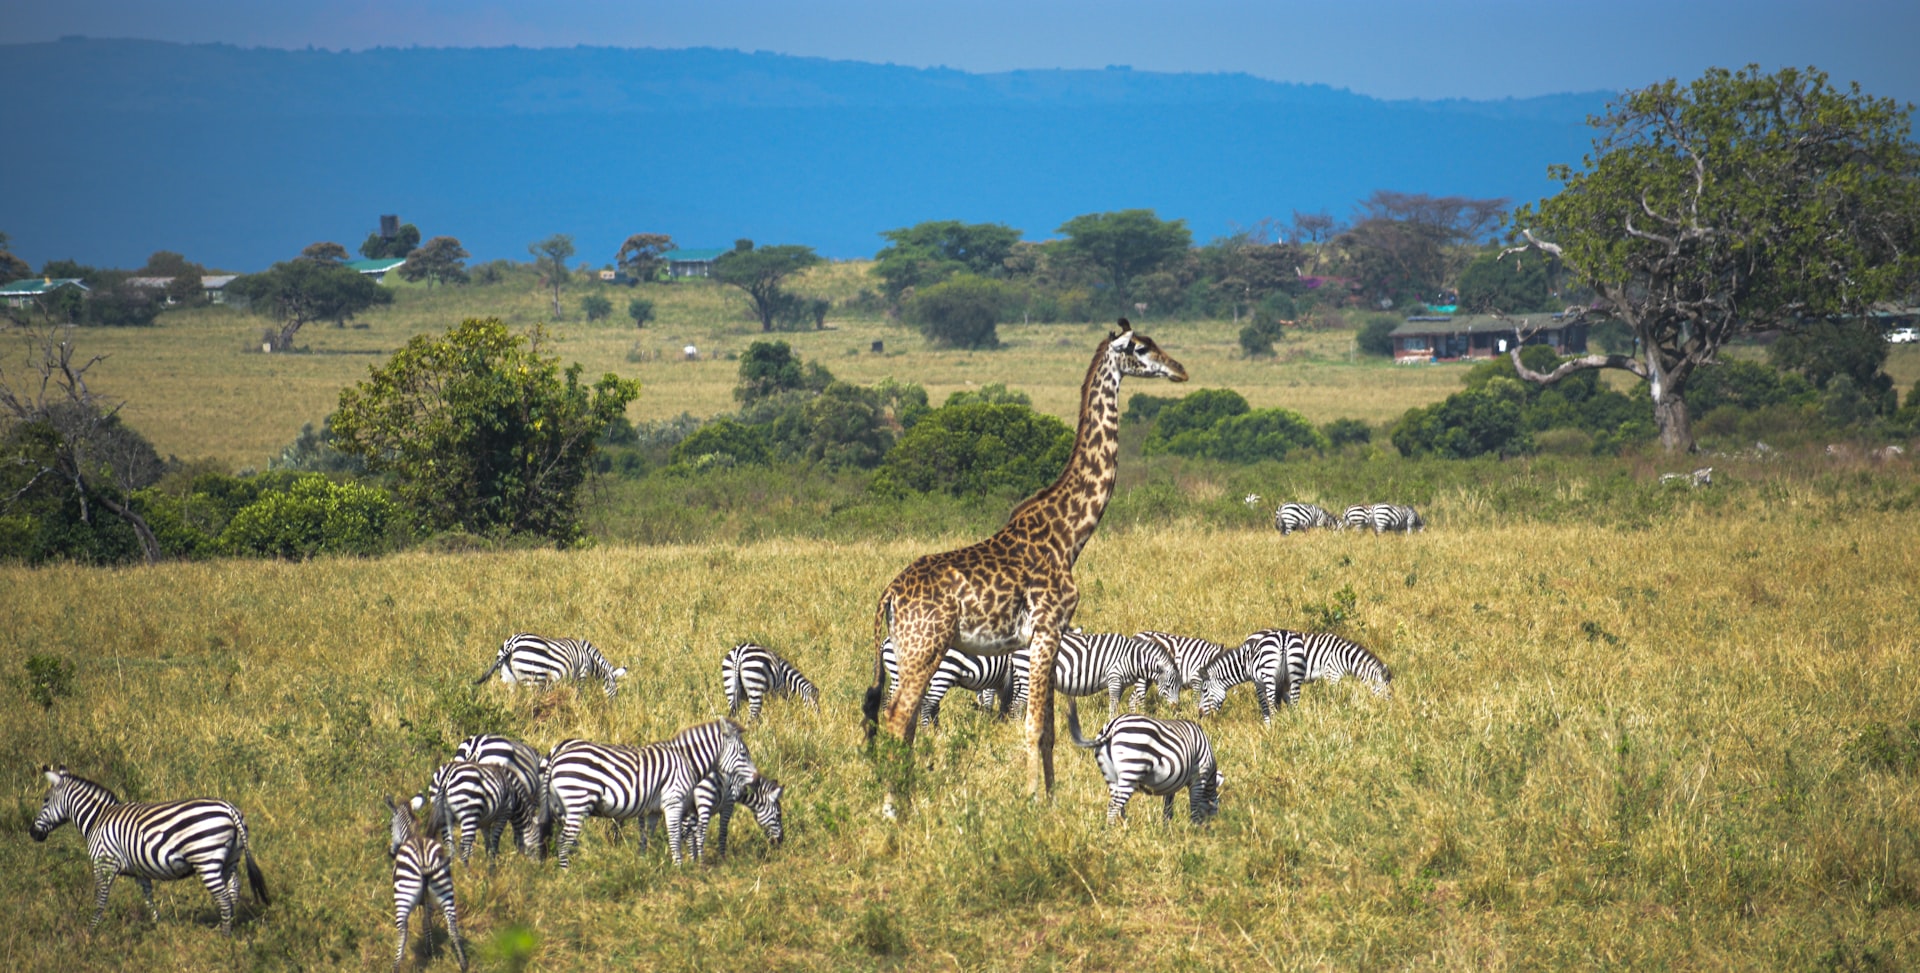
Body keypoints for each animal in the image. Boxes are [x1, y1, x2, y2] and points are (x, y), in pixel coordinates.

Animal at [862, 319, 1188, 798]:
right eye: (1142, 349)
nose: (1180, 369)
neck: (1070, 535)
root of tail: (889, 594)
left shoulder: (1051, 634)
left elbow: (1050, 728)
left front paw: (1050, 799)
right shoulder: (1047, 628)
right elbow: (1033, 725)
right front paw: (1032, 798)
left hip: (908, 648)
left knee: (895, 721)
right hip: (925, 647)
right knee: (898, 719)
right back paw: (894, 802)